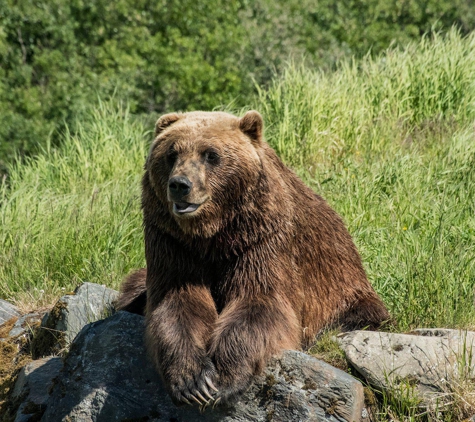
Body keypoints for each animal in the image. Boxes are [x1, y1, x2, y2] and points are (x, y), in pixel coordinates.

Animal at [116, 110, 390, 408]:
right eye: (171, 153)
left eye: (211, 155)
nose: (180, 185)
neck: (212, 234)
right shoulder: (172, 242)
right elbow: (178, 302)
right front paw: (193, 381)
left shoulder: (260, 240)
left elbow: (258, 302)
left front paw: (223, 378)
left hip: (343, 287)